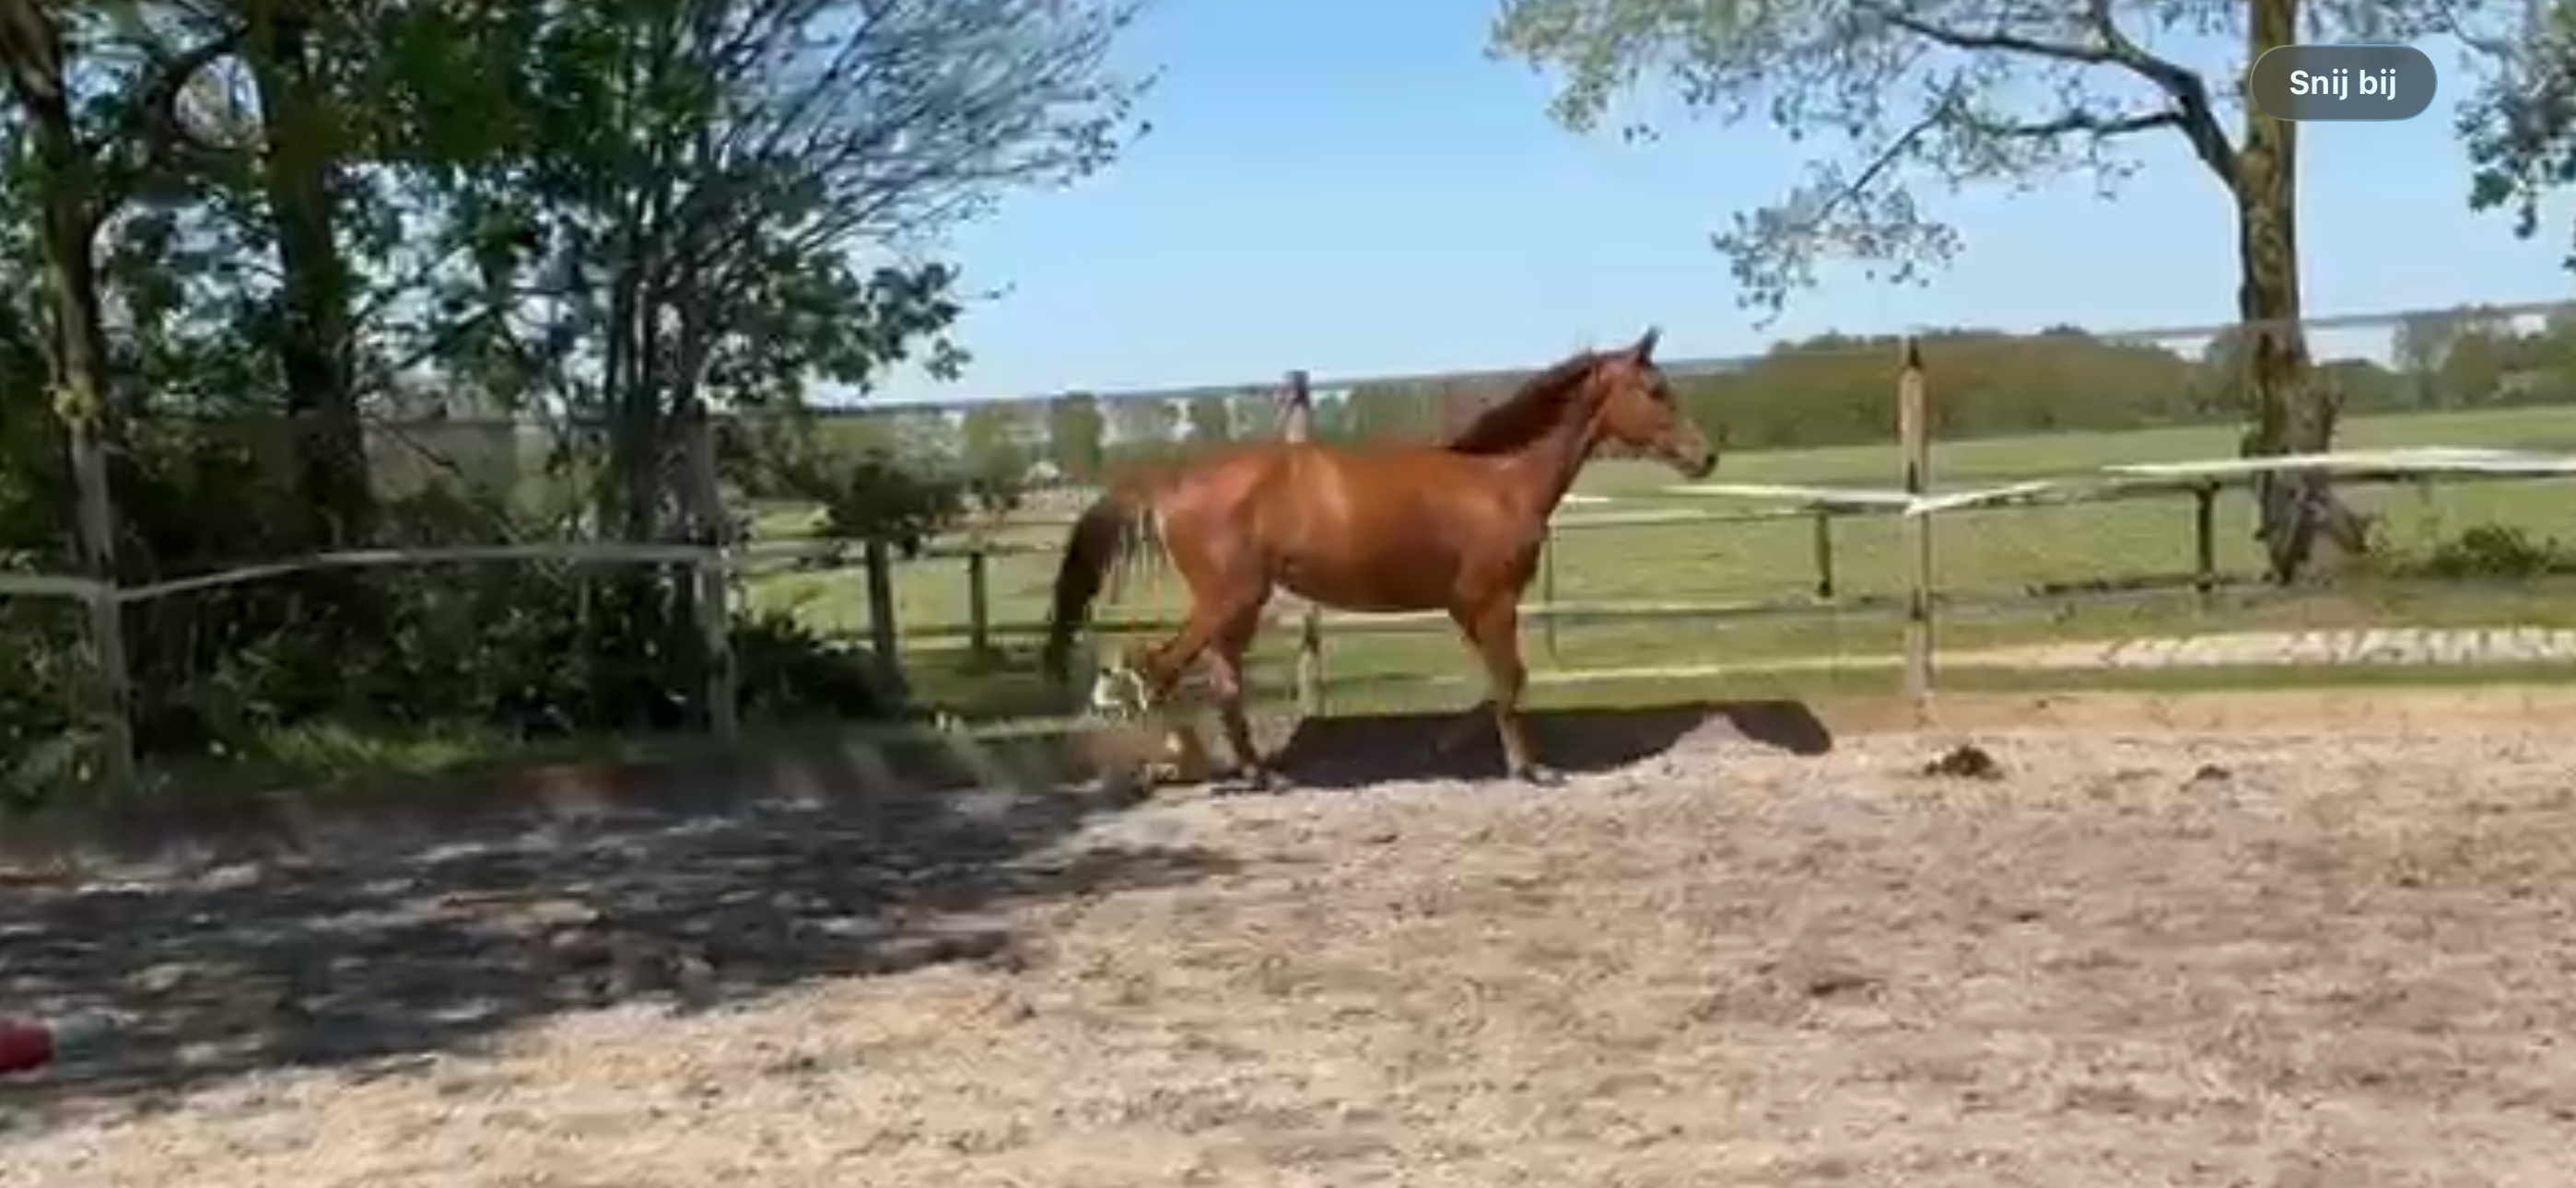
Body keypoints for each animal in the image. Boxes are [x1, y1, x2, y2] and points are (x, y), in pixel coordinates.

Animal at [1041, 327, 1717, 790]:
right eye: (1655, 390)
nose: (1705, 456)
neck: (1498, 482)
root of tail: (1169, 484)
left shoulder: (1468, 607)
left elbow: (1500, 681)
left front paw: (1449, 745)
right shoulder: (1493, 601)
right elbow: (1510, 680)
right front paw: (1529, 769)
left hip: (1242, 605)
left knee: (1215, 678)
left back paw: (1262, 776)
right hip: (1226, 599)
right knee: (1158, 670)